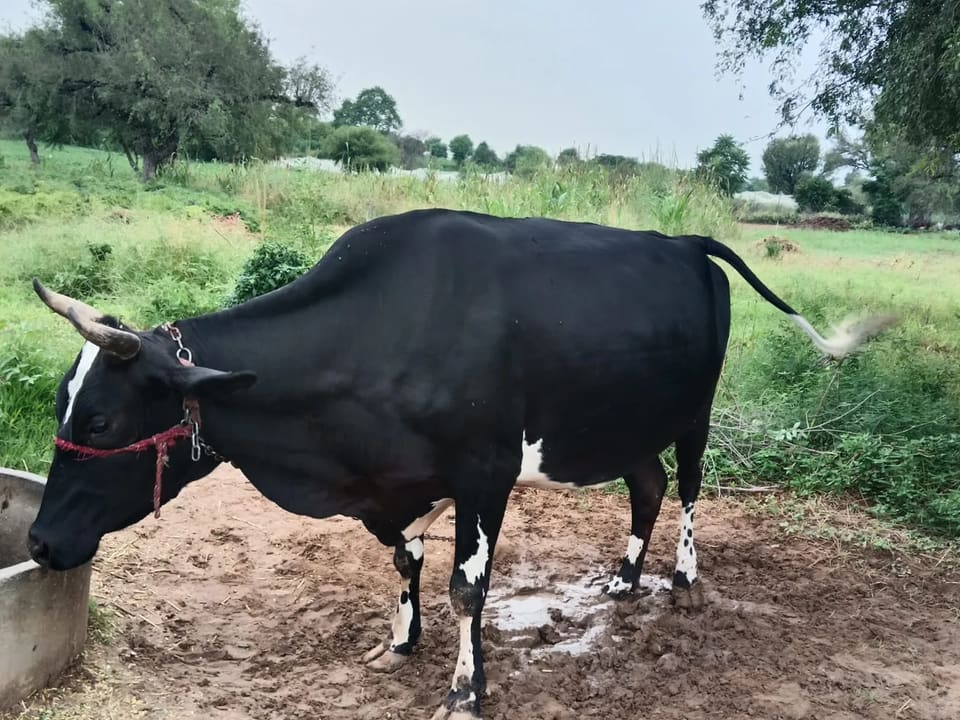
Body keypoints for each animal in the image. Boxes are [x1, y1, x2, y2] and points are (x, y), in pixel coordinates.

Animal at [26, 209, 893, 719]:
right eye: (64, 406)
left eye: (100, 419)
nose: (37, 542)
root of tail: (683, 242)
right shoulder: (395, 480)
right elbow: (405, 560)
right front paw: (399, 641)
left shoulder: (484, 471)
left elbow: (467, 588)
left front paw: (465, 691)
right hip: (622, 422)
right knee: (645, 485)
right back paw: (622, 579)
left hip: (694, 414)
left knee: (685, 486)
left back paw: (680, 576)